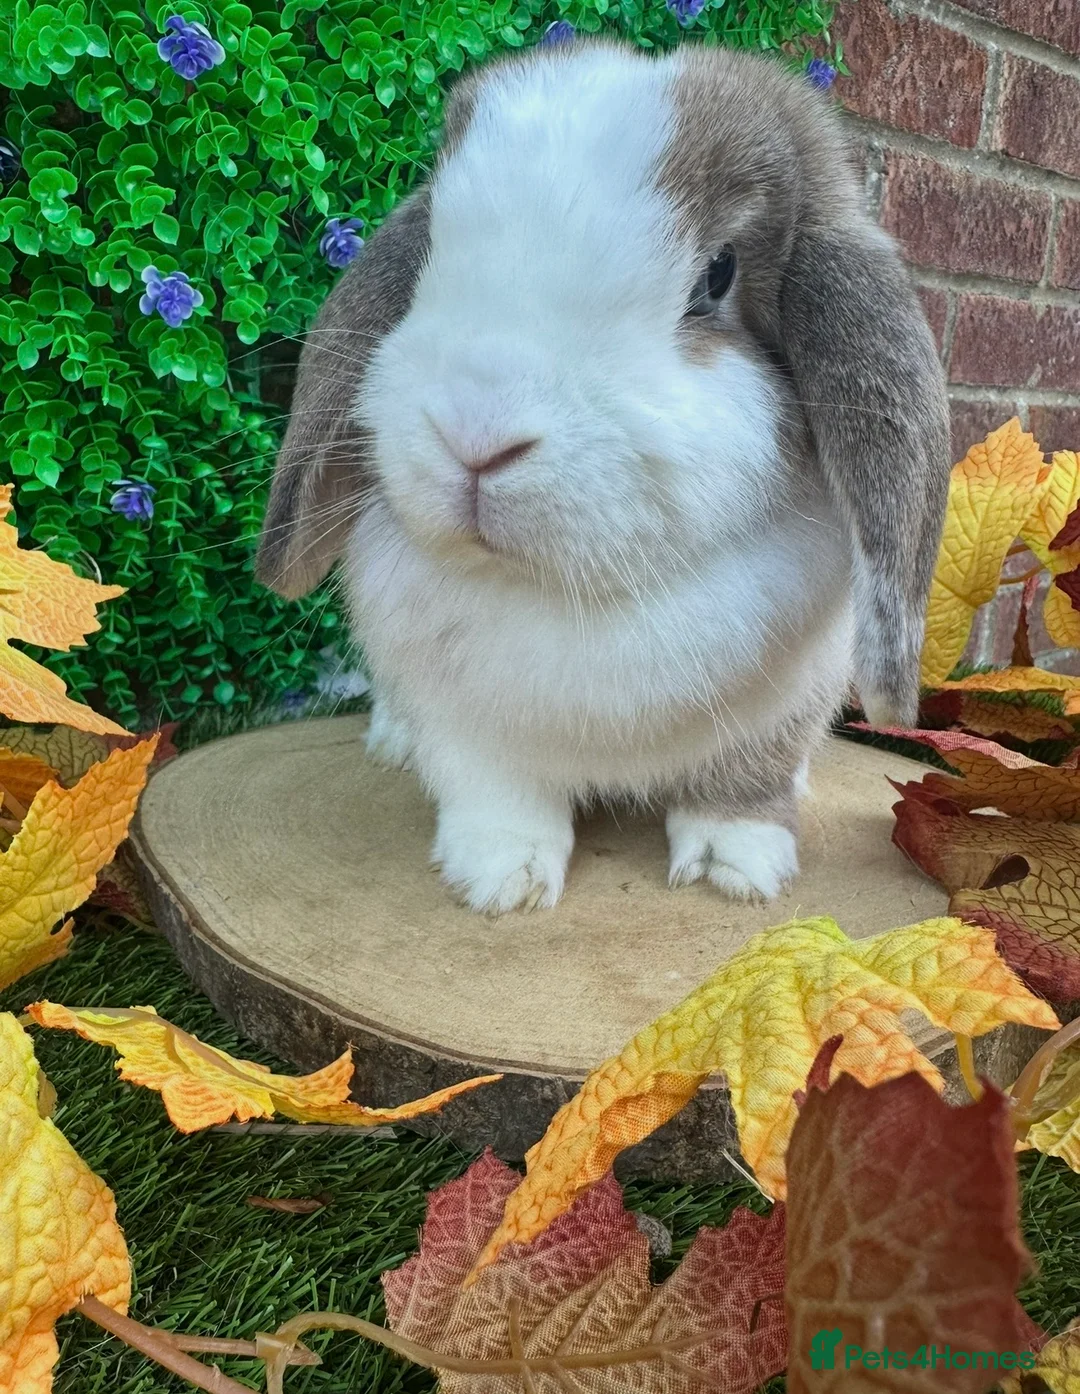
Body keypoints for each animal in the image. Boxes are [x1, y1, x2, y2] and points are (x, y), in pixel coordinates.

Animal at [257, 36, 950, 915]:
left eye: (716, 277)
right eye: (429, 261)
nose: (475, 434)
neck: (581, 594)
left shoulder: (781, 711)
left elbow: (742, 786)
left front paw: (737, 869)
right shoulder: (468, 726)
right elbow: (498, 795)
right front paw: (501, 880)